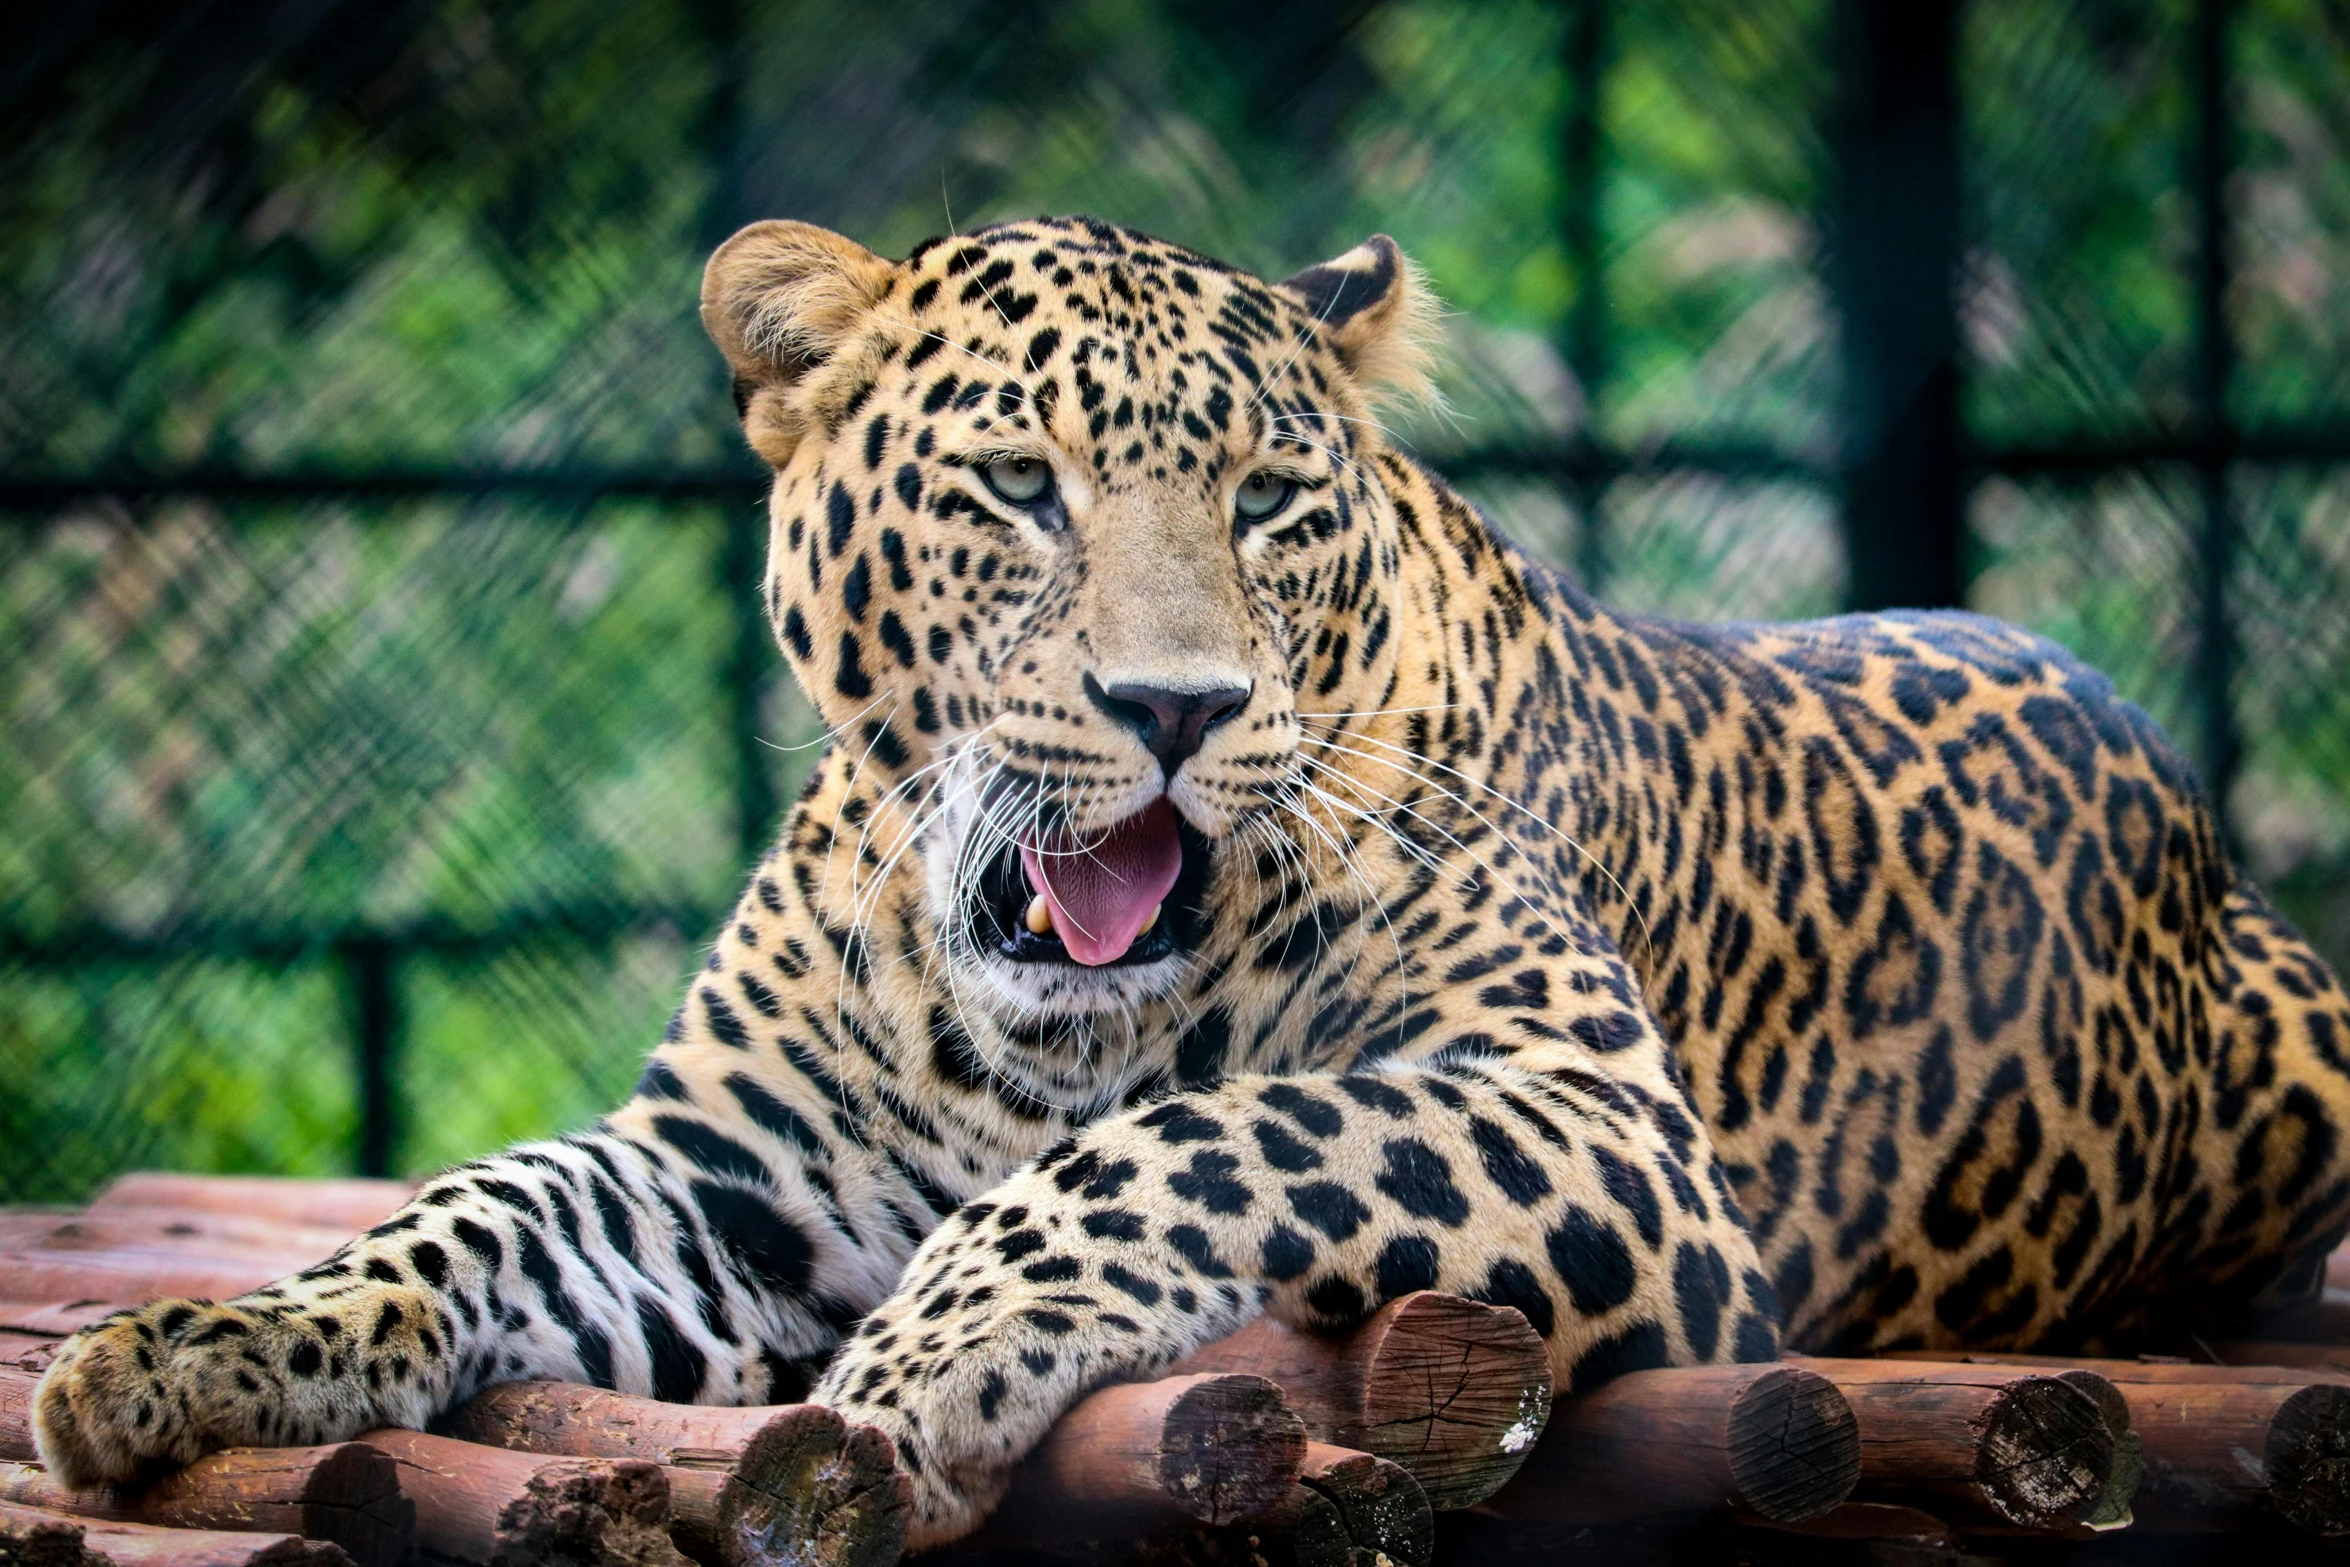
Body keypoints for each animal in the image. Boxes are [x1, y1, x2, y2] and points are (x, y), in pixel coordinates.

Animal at [32, 214, 2350, 1550]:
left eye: (1265, 501)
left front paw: (928, 1360)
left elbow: (1196, 1137)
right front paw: (192, 1349)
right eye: (1015, 485)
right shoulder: (724, 1175)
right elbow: (471, 1211)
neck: (1033, 1020)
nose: (1174, 705)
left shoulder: (1589, 1113)